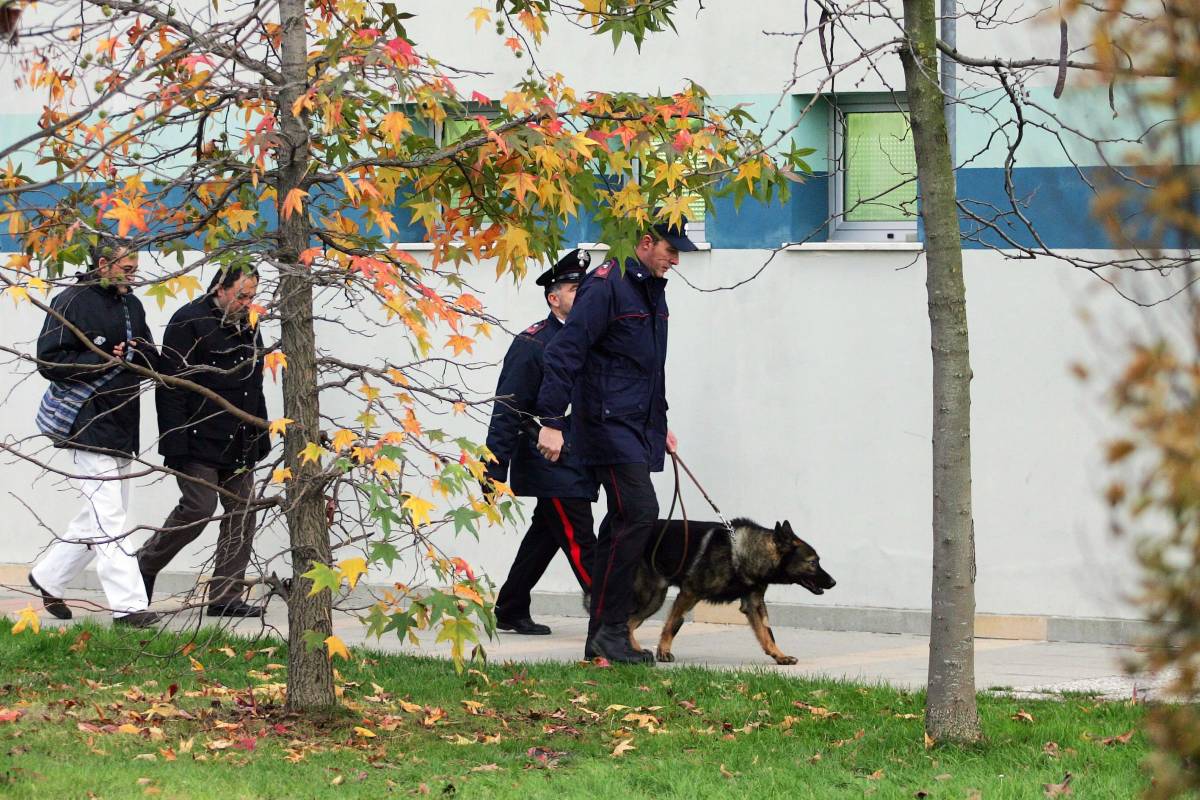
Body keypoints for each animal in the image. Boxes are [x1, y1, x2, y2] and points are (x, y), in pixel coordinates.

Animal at [535, 214, 696, 662]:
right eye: (671, 246)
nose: (677, 261)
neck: (637, 280)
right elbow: (569, 349)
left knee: (610, 533)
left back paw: (600, 639)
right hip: (614, 451)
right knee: (632, 516)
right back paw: (609, 640)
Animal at [628, 520, 835, 662]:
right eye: (813, 562)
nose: (833, 582)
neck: (745, 554)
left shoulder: (753, 604)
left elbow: (767, 633)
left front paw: (779, 656)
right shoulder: (689, 593)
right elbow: (672, 625)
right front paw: (663, 651)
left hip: (655, 598)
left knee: (629, 622)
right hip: (652, 597)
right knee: (629, 622)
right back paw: (635, 651)